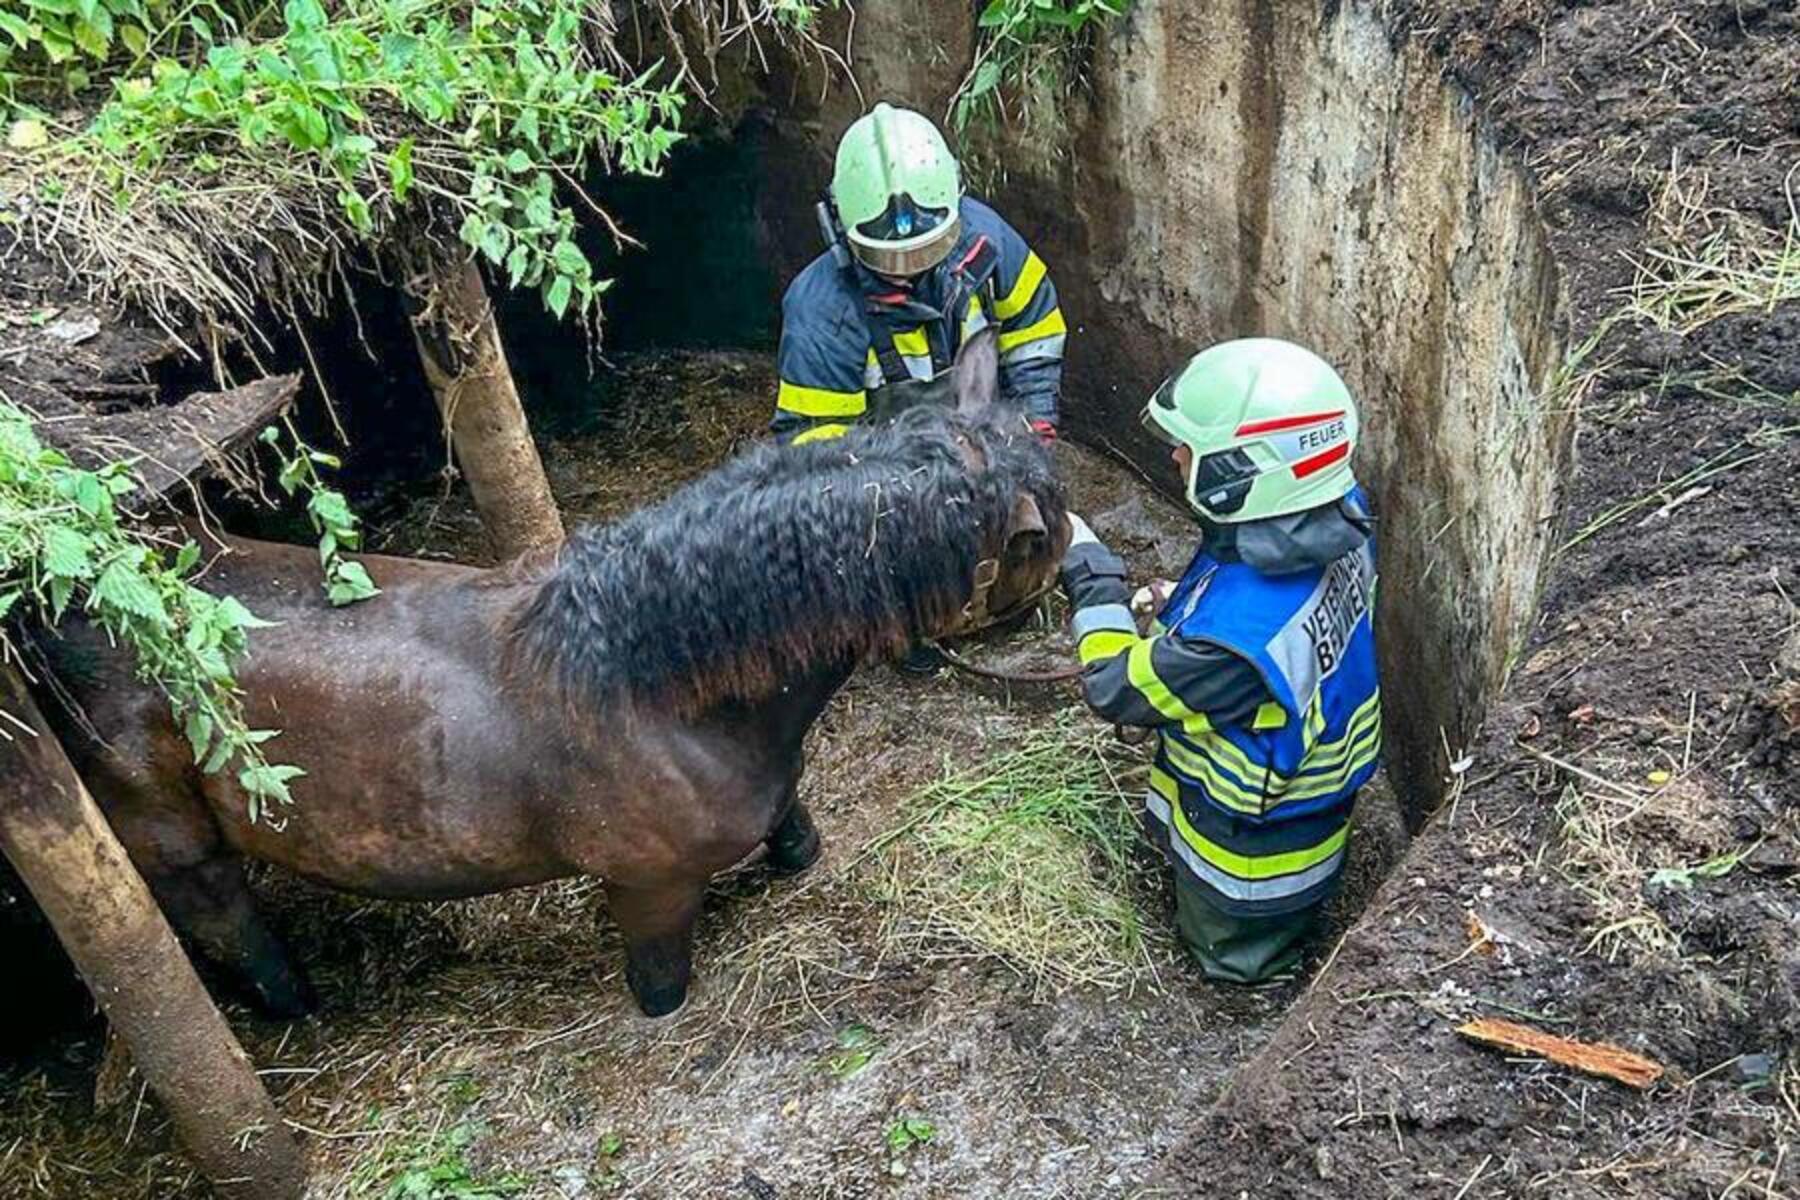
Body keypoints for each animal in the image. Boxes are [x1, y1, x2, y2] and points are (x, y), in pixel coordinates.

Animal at [34, 330, 1069, 1018]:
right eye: (1043, 535)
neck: (669, 693)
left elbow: (797, 838)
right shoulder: (648, 895)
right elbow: (663, 993)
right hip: (177, 850)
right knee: (231, 930)